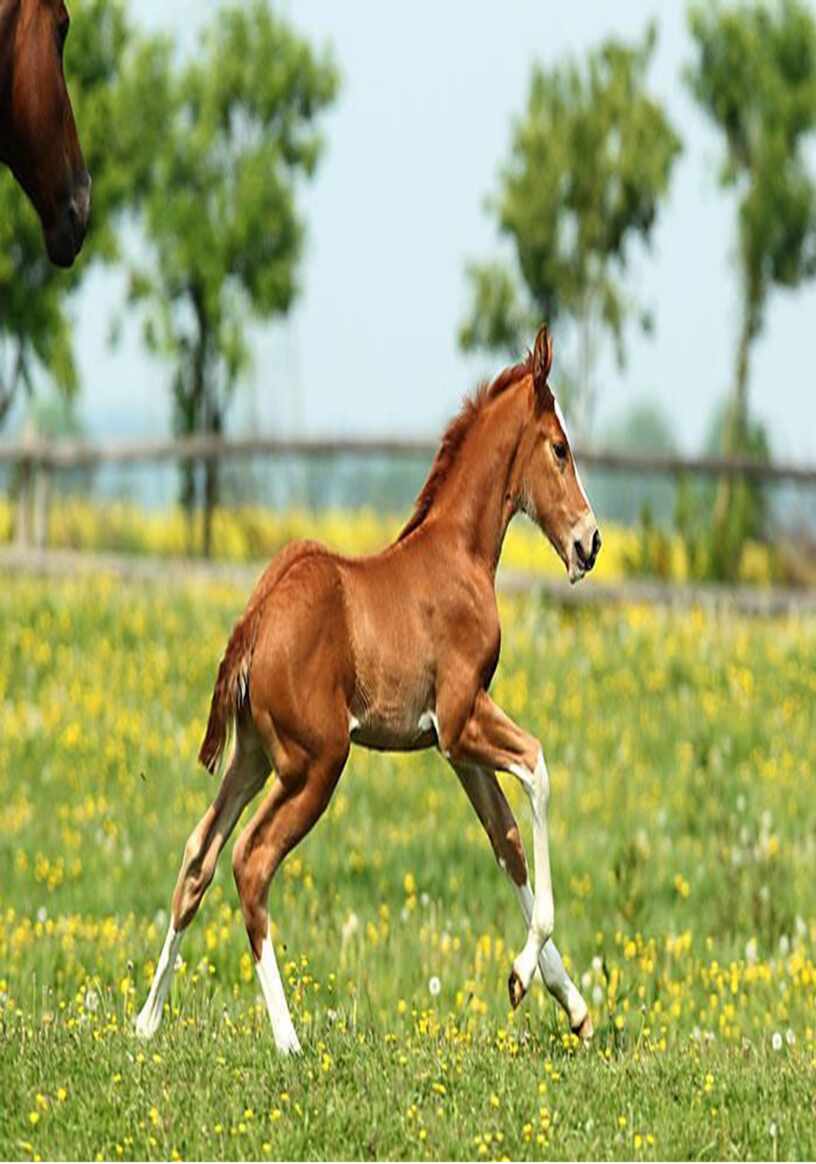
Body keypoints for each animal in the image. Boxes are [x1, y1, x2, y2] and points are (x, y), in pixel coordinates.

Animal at [136, 325, 600, 1047]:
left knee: (198, 856)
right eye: (560, 448)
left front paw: (563, 999)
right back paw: (288, 1038)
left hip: (254, 758)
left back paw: (147, 1020)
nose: (590, 542)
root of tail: (255, 622)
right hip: (317, 763)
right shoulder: (462, 719)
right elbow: (538, 768)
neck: (459, 555)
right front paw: (527, 972)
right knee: (250, 861)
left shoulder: (454, 746)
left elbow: (507, 842)